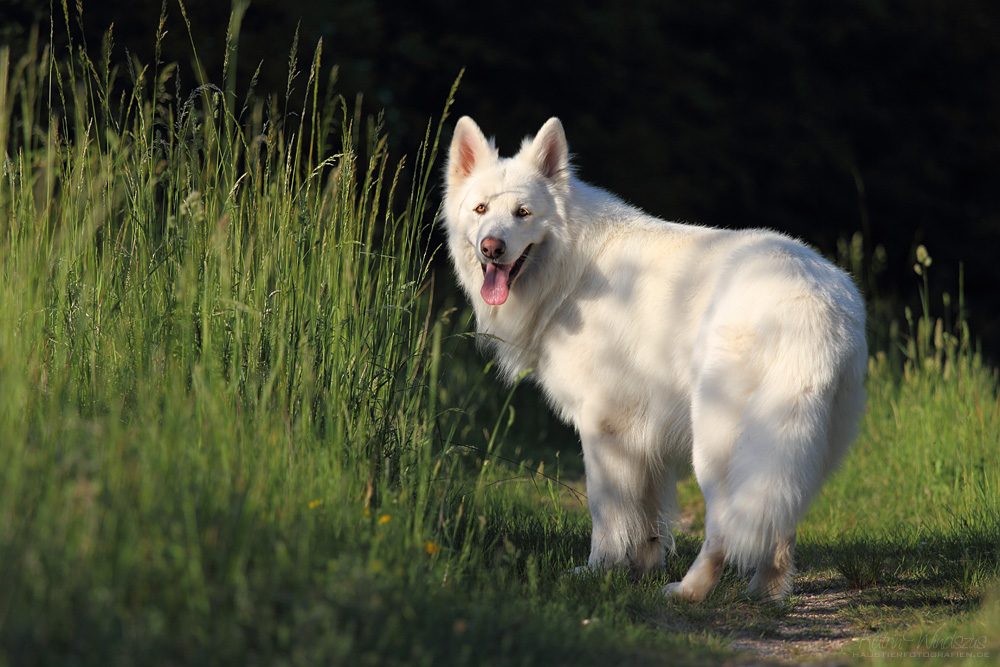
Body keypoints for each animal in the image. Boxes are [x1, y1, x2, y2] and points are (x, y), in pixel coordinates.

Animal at [442, 117, 864, 604]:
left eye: (523, 213)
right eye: (480, 209)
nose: (492, 247)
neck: (573, 267)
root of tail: (810, 302)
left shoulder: (603, 427)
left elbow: (607, 511)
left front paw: (598, 571)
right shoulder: (645, 434)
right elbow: (649, 516)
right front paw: (641, 568)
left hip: (716, 446)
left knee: (722, 529)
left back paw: (688, 591)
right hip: (792, 449)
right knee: (779, 521)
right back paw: (764, 593)